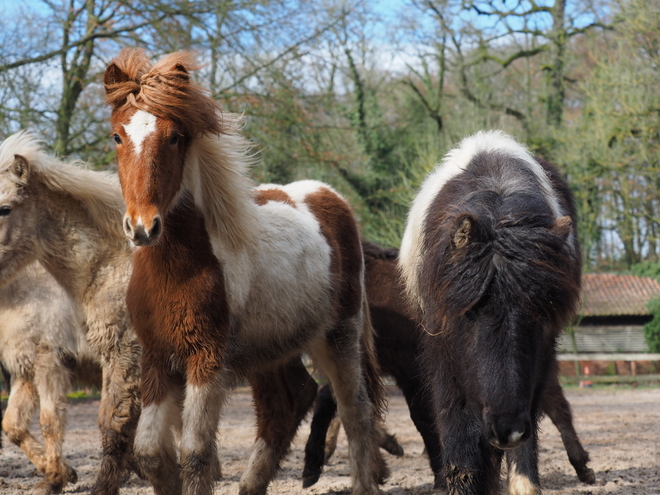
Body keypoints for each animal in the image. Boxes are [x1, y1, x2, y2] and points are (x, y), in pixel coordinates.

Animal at [103, 49, 386, 495]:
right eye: (117, 136)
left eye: (175, 136)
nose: (143, 227)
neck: (178, 269)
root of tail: (331, 197)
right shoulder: (157, 356)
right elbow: (149, 451)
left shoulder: (207, 358)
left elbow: (196, 453)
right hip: (270, 350)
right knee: (287, 405)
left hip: (339, 336)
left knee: (355, 412)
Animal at [400, 130, 580, 494]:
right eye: (468, 312)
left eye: (540, 314)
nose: (507, 429)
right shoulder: (444, 358)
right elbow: (460, 442)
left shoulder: (539, 363)